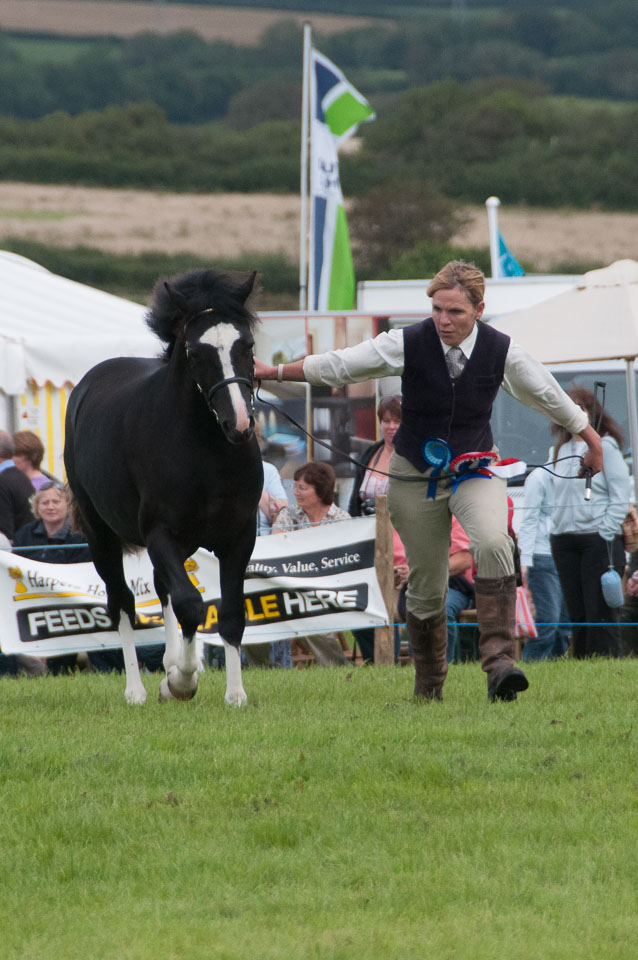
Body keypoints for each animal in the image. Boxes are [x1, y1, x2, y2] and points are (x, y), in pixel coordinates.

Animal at [63, 270, 264, 704]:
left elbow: (231, 614)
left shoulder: (239, 537)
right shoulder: (160, 533)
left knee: (161, 586)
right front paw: (181, 682)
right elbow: (190, 603)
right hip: (100, 535)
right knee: (122, 602)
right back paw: (137, 690)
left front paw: (234, 695)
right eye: (195, 353)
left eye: (248, 345)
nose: (239, 425)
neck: (208, 454)